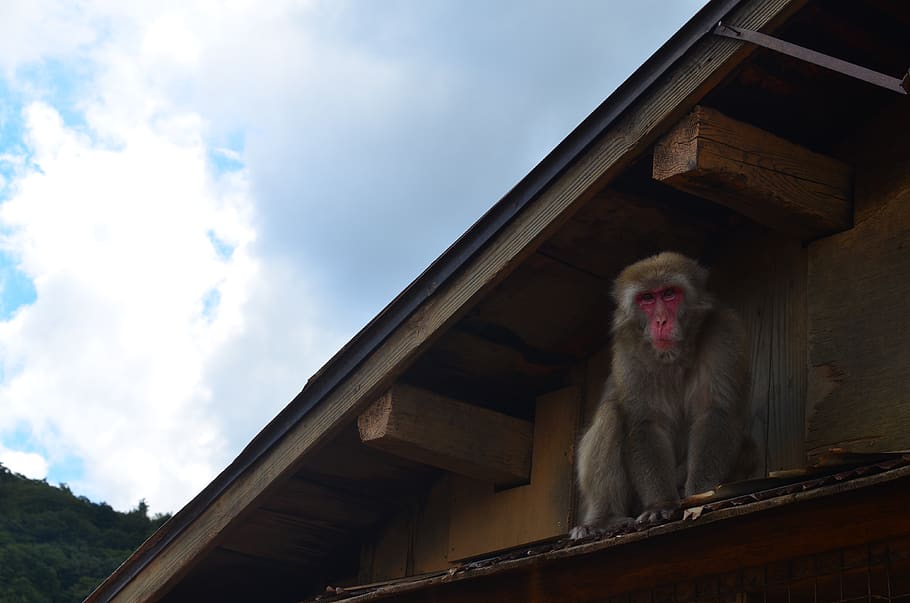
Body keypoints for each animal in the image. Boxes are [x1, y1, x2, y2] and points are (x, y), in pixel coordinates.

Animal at [570, 252, 755, 539]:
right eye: (647, 298)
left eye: (669, 294)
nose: (660, 321)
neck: (673, 356)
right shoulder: (628, 351)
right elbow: (646, 423)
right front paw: (660, 504)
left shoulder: (724, 333)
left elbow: (714, 412)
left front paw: (700, 496)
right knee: (611, 411)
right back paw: (603, 519)